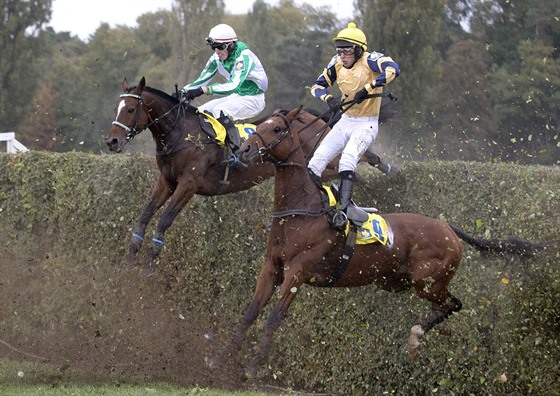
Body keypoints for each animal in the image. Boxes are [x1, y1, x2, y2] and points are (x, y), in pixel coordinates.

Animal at [106, 76, 394, 276]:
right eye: (116, 108)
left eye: (130, 110)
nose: (112, 141)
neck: (182, 133)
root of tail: (312, 116)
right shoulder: (167, 180)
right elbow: (146, 213)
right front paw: (132, 256)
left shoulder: (188, 184)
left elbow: (164, 219)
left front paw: (151, 259)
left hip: (324, 159)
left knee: (355, 168)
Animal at [211, 107, 540, 378]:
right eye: (262, 125)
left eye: (277, 128)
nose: (244, 148)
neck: (303, 208)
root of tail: (448, 227)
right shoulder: (272, 266)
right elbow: (251, 312)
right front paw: (222, 358)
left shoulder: (297, 272)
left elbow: (274, 318)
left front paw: (253, 366)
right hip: (399, 281)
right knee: (447, 306)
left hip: (427, 282)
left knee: (454, 303)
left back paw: (416, 337)